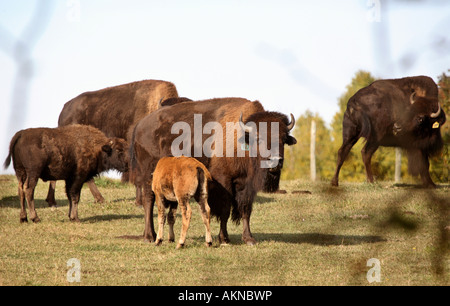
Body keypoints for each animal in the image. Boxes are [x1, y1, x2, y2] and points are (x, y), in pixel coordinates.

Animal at [129, 97, 296, 245]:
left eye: (283, 138)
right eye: (259, 138)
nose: (275, 161)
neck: (242, 138)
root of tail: (140, 126)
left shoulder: (246, 185)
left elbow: (246, 210)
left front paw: (249, 239)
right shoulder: (224, 181)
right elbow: (225, 210)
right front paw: (224, 238)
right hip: (149, 175)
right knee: (149, 200)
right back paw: (149, 236)